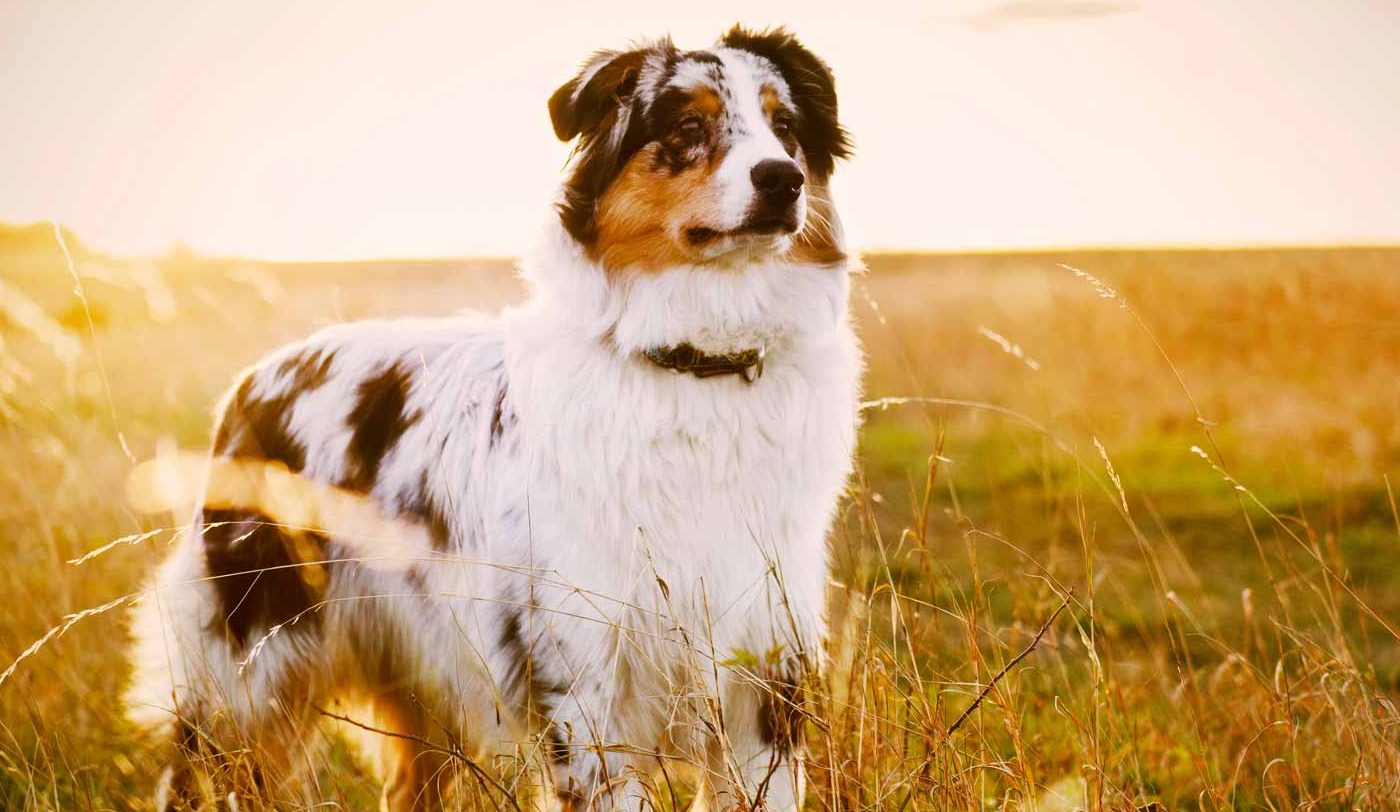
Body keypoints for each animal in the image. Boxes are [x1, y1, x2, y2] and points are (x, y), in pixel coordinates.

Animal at [126, 26, 856, 812]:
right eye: (688, 126)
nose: (782, 179)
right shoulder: (585, 685)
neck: (695, 365)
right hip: (245, 673)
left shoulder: (765, 676)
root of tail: (254, 379)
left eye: (785, 127)